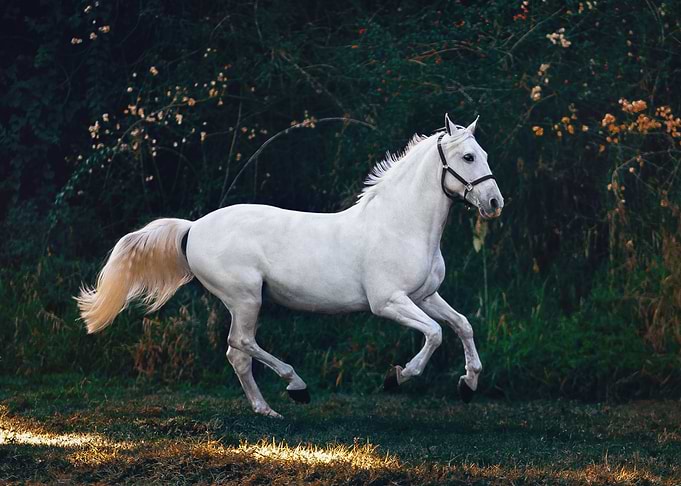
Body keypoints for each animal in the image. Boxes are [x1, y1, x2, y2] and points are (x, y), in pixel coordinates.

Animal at [77, 114, 504, 418]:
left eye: (485, 155)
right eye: (468, 157)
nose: (495, 203)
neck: (401, 225)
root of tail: (193, 227)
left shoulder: (425, 295)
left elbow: (462, 325)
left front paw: (468, 384)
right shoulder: (388, 302)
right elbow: (434, 333)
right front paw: (397, 377)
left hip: (245, 302)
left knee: (237, 353)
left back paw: (267, 409)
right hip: (246, 298)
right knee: (241, 344)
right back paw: (296, 387)